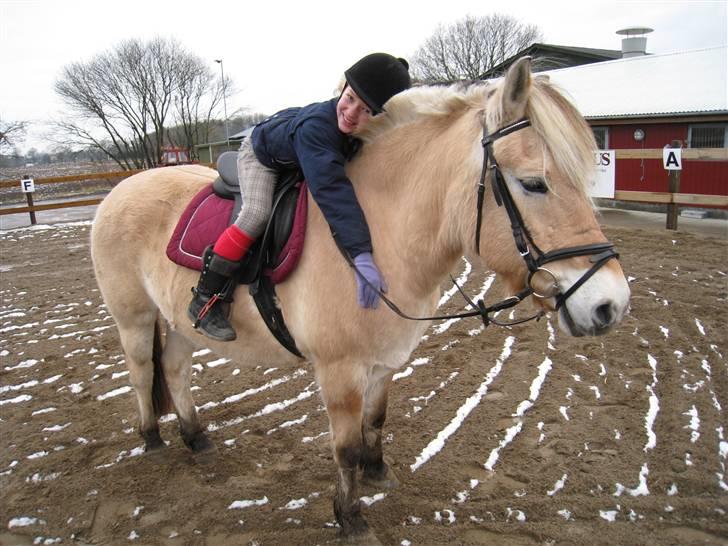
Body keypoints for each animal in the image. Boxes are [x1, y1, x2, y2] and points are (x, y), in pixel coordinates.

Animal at [91, 57, 632, 536]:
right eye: (534, 183)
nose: (611, 305)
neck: (379, 229)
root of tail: (122, 189)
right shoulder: (340, 370)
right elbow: (346, 447)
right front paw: (350, 517)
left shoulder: (385, 360)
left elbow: (377, 419)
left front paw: (377, 473)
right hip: (134, 317)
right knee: (142, 372)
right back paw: (152, 438)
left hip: (178, 319)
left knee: (176, 369)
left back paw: (195, 435)